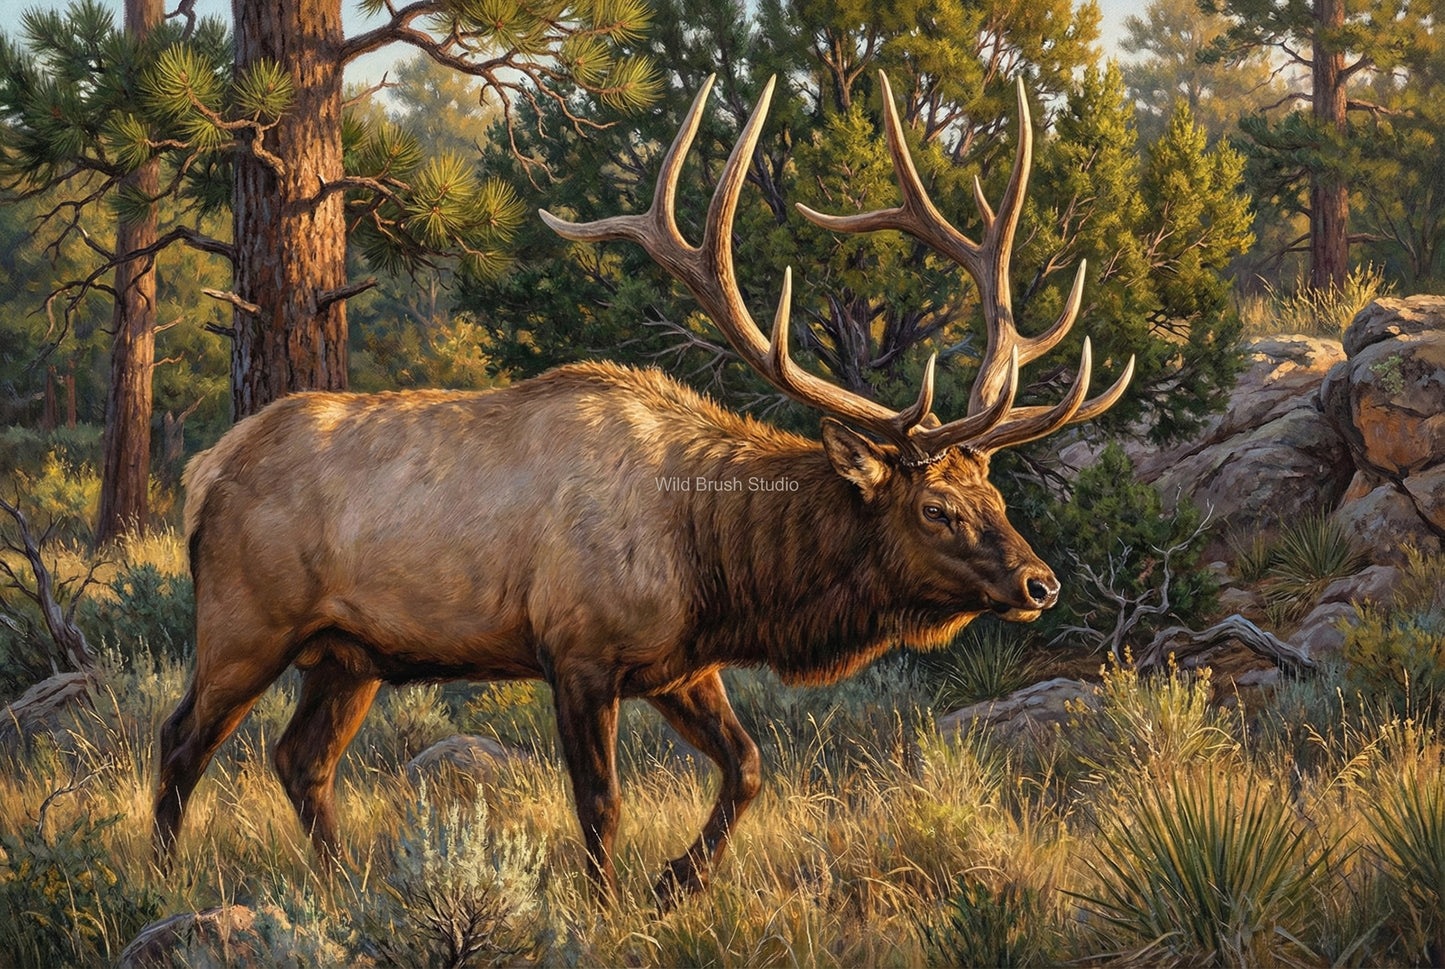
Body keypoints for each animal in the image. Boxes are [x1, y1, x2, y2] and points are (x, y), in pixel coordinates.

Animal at [153, 72, 1132, 907]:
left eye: (996, 500)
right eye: (937, 508)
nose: (1040, 582)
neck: (713, 562)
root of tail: (203, 474)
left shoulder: (680, 663)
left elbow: (748, 767)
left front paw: (675, 882)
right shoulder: (576, 649)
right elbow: (601, 802)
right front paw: (606, 901)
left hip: (349, 653)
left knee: (299, 759)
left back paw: (347, 882)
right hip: (246, 620)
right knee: (181, 738)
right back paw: (162, 876)